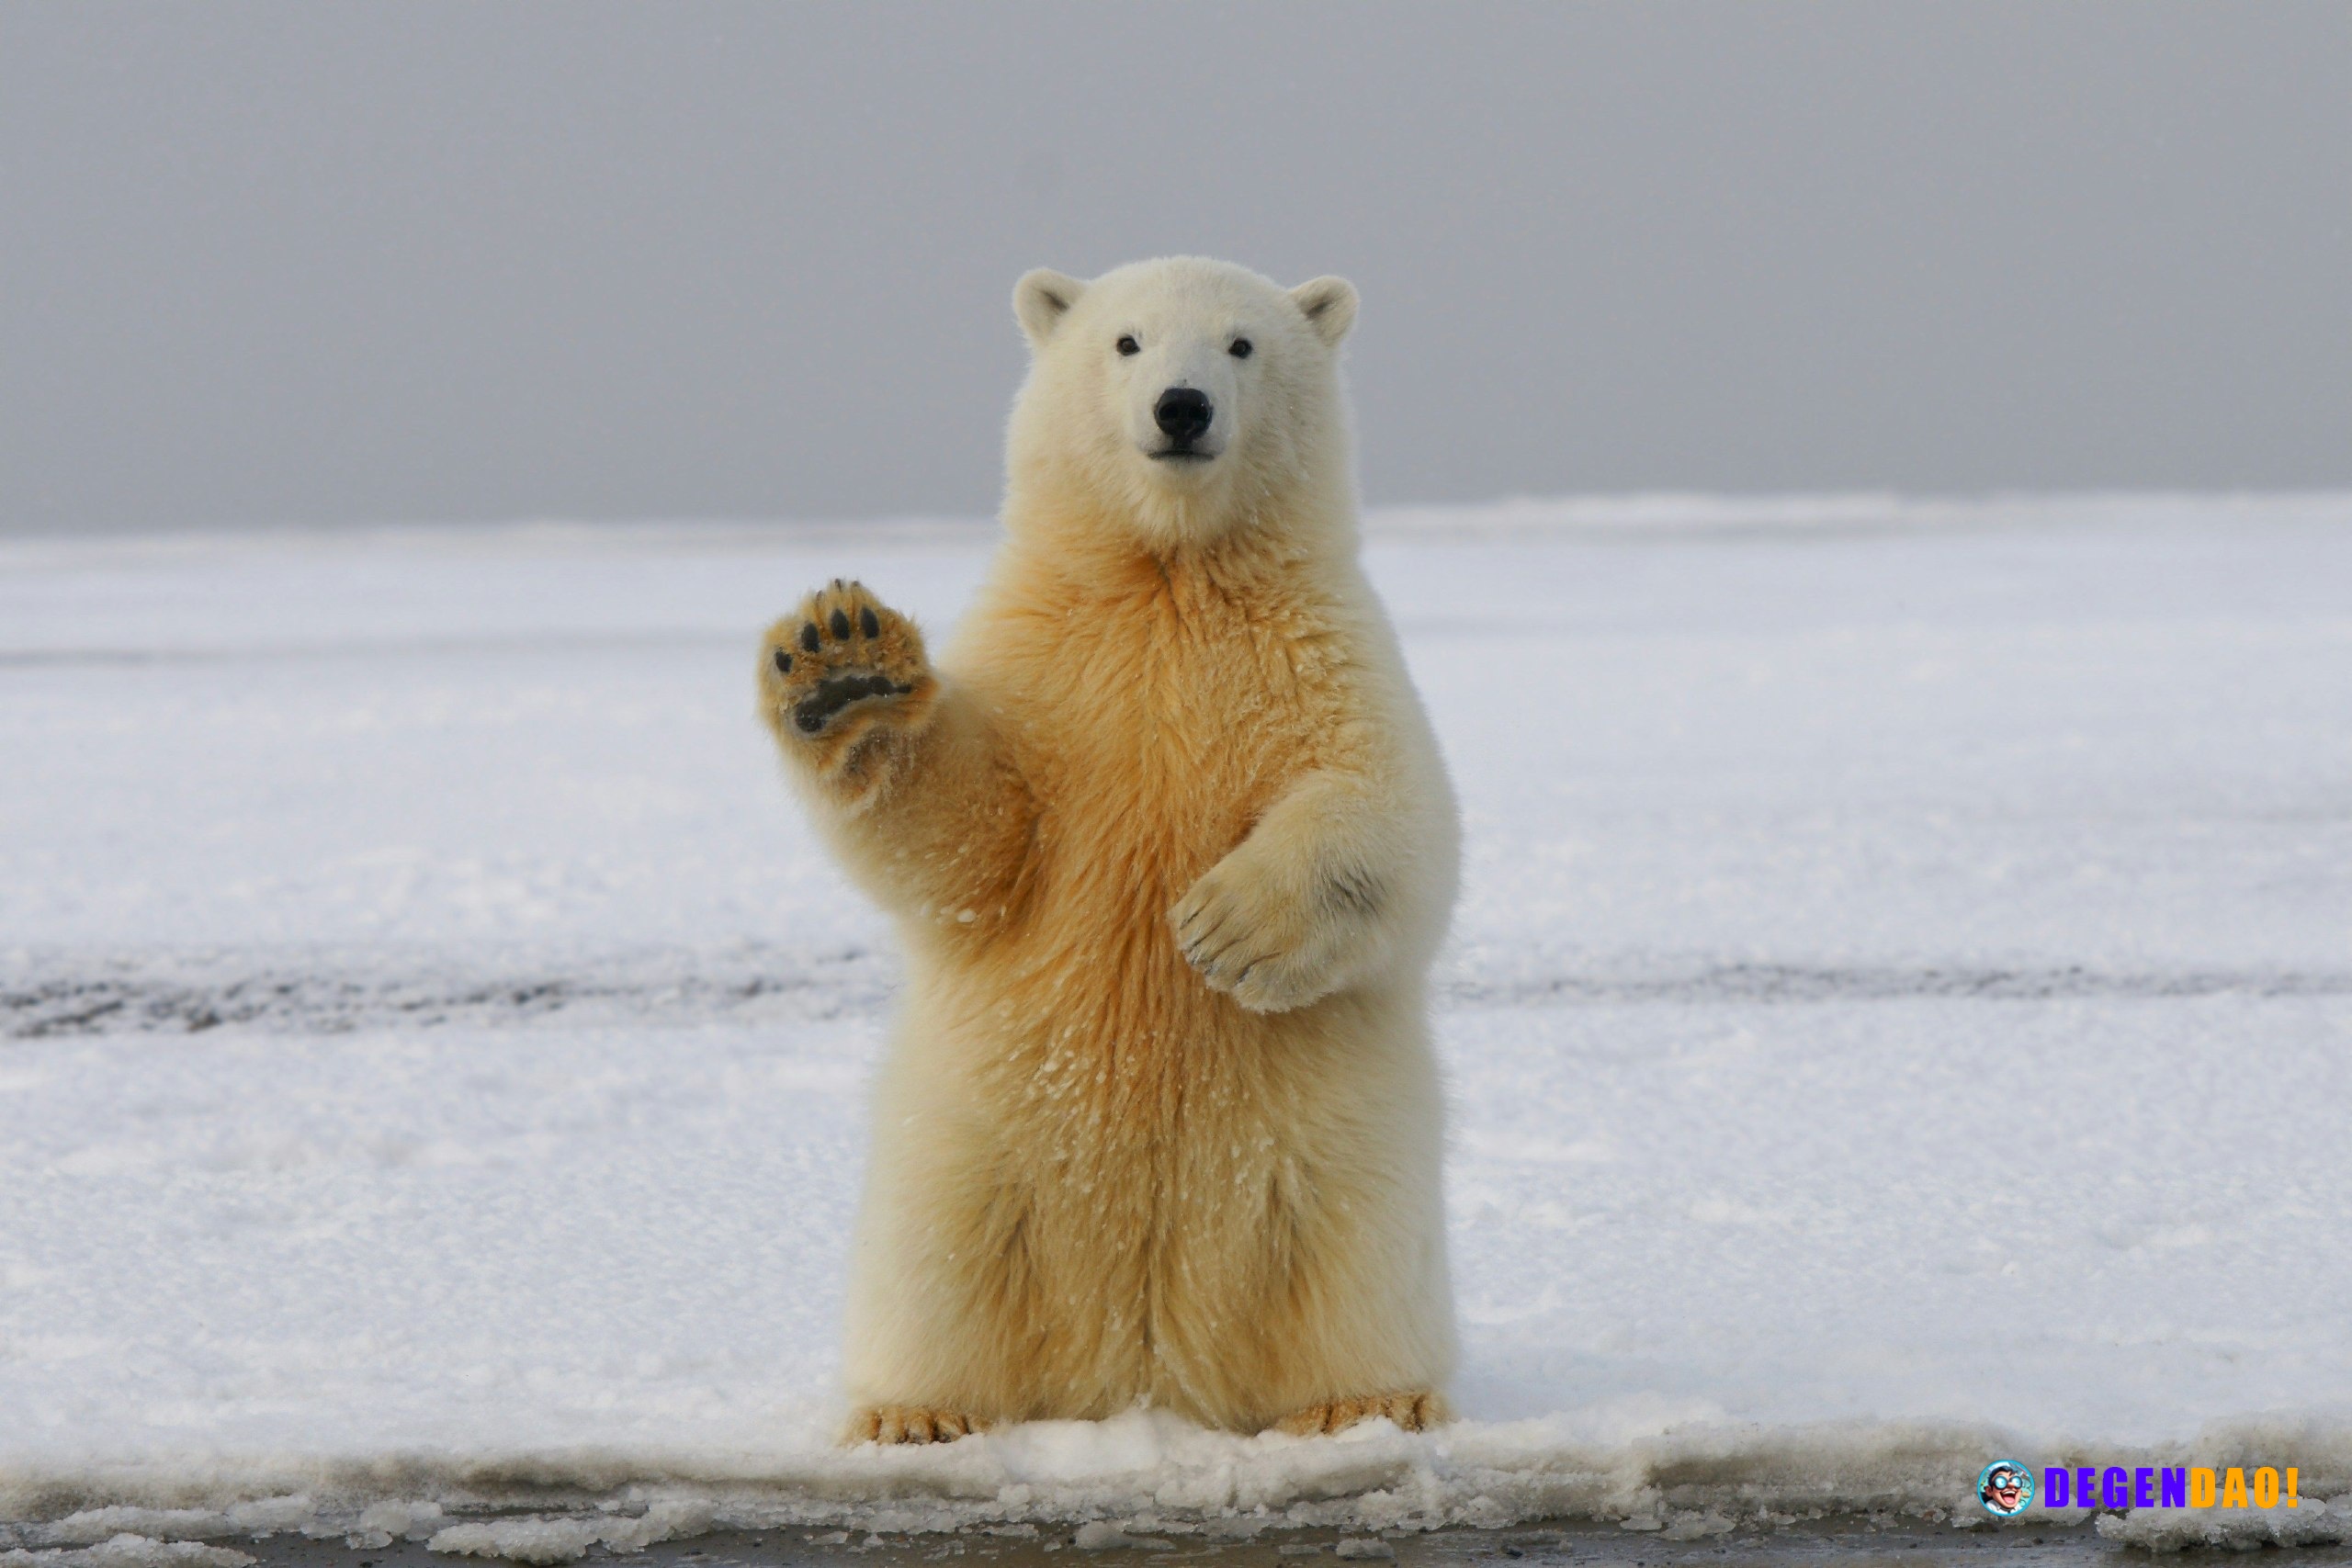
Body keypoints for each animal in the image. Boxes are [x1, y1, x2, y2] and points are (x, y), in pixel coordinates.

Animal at [756, 256, 1460, 1443]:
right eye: (1125, 342)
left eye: (1240, 344)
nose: (1181, 409)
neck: (1168, 576)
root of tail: (1142, 1371)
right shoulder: (1049, 666)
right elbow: (974, 843)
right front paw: (843, 666)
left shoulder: (1322, 652)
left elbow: (1392, 816)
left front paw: (1225, 928)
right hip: (970, 1148)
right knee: (937, 1267)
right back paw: (915, 1413)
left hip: (1337, 1157)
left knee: (1352, 1264)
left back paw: (1369, 1402)